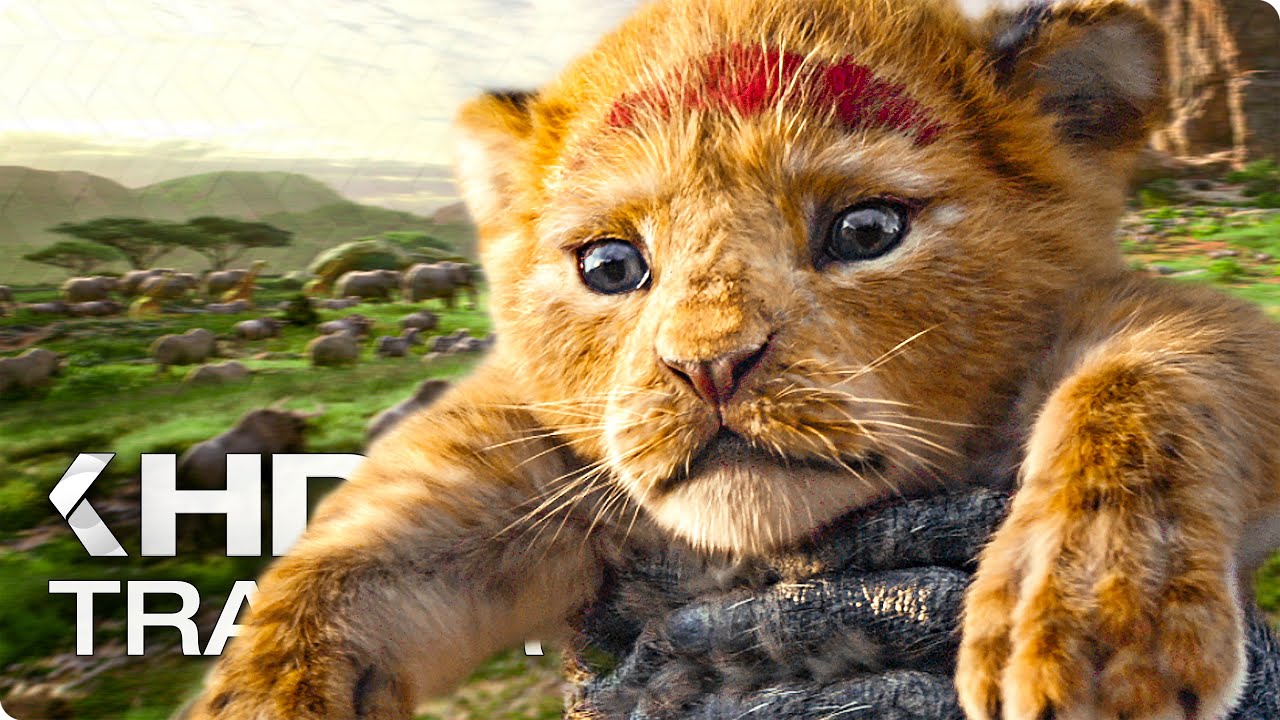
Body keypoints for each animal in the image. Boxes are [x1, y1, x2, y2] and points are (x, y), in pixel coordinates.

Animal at [180, 1, 1280, 718]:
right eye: (612, 264)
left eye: (866, 229)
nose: (708, 370)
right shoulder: (522, 458)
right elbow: (355, 552)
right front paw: (261, 695)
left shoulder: (1142, 320)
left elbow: (1149, 374)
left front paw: (1089, 619)